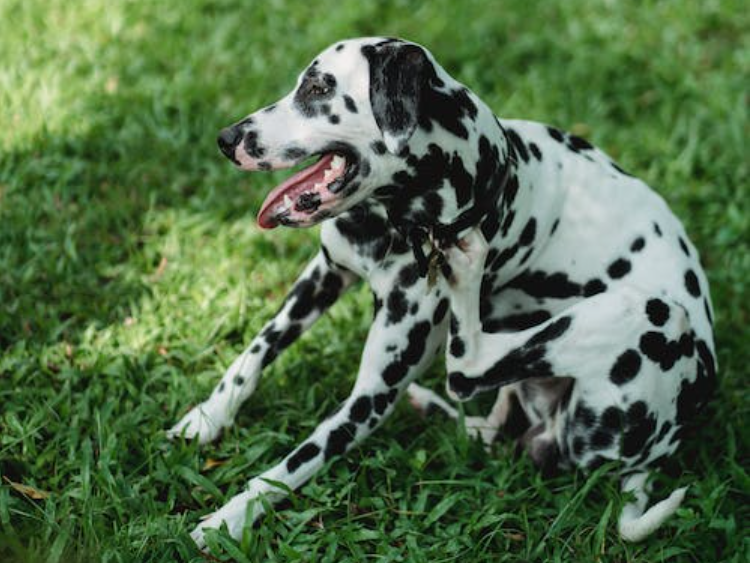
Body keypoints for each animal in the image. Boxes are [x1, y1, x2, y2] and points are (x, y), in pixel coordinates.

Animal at [169, 35, 716, 548]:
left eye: (319, 88)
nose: (227, 138)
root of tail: (659, 451)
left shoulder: (371, 397)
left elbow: (289, 468)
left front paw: (229, 518)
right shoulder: (326, 273)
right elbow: (255, 352)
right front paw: (207, 417)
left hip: (652, 314)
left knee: (467, 366)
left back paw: (466, 273)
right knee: (483, 418)